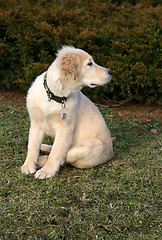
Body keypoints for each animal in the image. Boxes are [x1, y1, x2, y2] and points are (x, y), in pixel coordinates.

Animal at [20, 46, 113, 178]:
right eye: (89, 64)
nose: (110, 71)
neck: (54, 96)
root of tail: (112, 152)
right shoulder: (36, 124)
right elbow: (32, 146)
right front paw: (28, 165)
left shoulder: (65, 129)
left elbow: (56, 153)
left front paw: (46, 171)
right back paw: (44, 148)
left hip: (87, 148)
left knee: (65, 156)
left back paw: (41, 160)